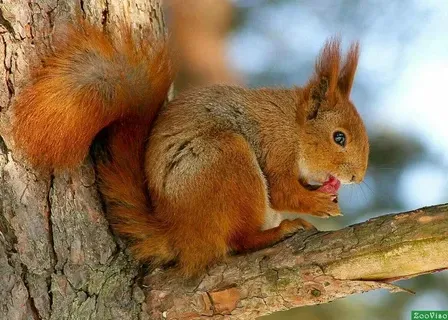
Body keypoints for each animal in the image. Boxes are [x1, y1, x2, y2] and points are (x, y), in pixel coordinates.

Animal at [11, 19, 368, 278]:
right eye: (339, 138)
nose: (357, 177)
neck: (293, 126)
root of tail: (180, 234)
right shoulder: (275, 145)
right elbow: (282, 191)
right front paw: (320, 203)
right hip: (228, 160)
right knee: (239, 241)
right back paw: (279, 231)